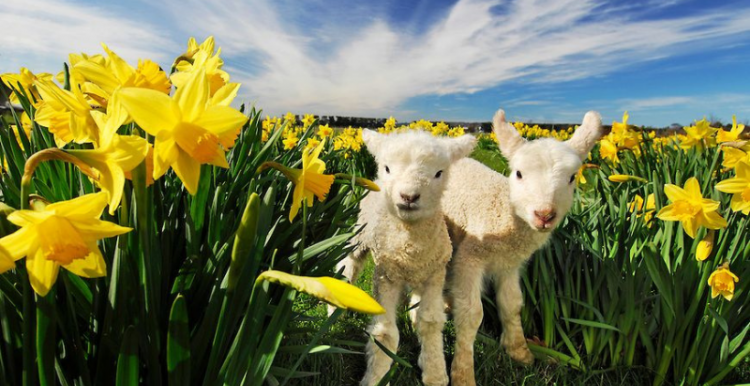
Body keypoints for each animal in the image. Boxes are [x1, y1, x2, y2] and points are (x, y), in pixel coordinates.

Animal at [338, 130, 478, 386]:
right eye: (388, 168)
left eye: (439, 173)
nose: (409, 196)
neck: (411, 247)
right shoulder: (386, 276)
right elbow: (385, 332)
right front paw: (376, 377)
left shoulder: (435, 274)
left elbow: (430, 322)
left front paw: (435, 373)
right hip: (359, 235)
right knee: (349, 265)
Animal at [444, 107, 608, 384]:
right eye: (518, 173)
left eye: (572, 178)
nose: (544, 214)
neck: (503, 214)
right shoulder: (470, 257)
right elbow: (471, 314)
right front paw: (463, 374)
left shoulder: (510, 264)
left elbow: (512, 304)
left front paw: (520, 352)